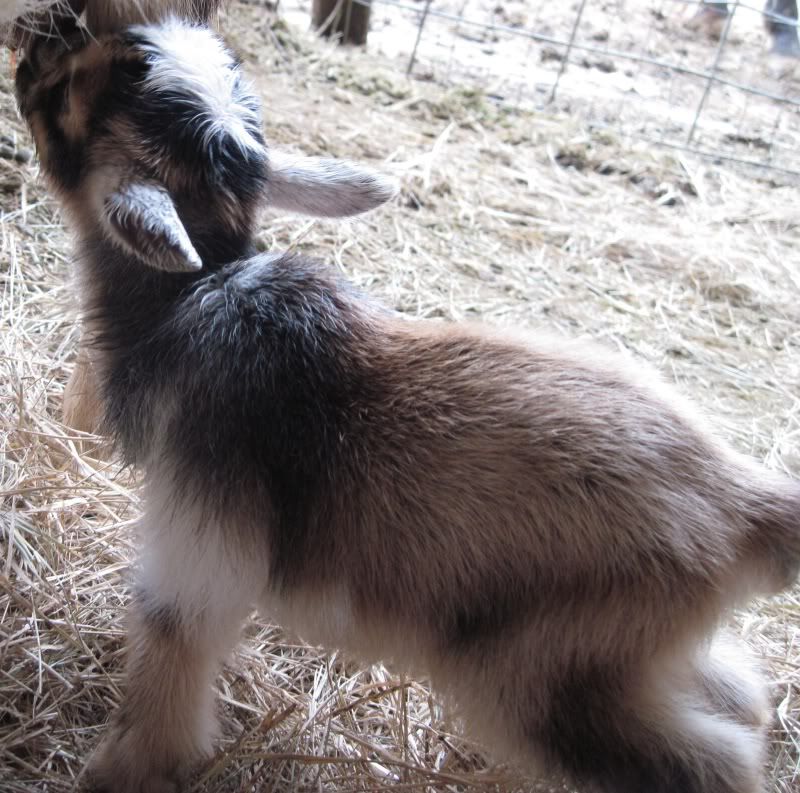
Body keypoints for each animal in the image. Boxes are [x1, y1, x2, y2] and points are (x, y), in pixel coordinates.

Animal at [15, 18, 800, 793]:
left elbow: (167, 648)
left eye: (72, 97)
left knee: (715, 760)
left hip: (541, 678)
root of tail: (740, 501)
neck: (195, 295)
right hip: (624, 657)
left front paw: (118, 770)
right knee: (741, 692)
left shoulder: (199, 545)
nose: (30, 55)